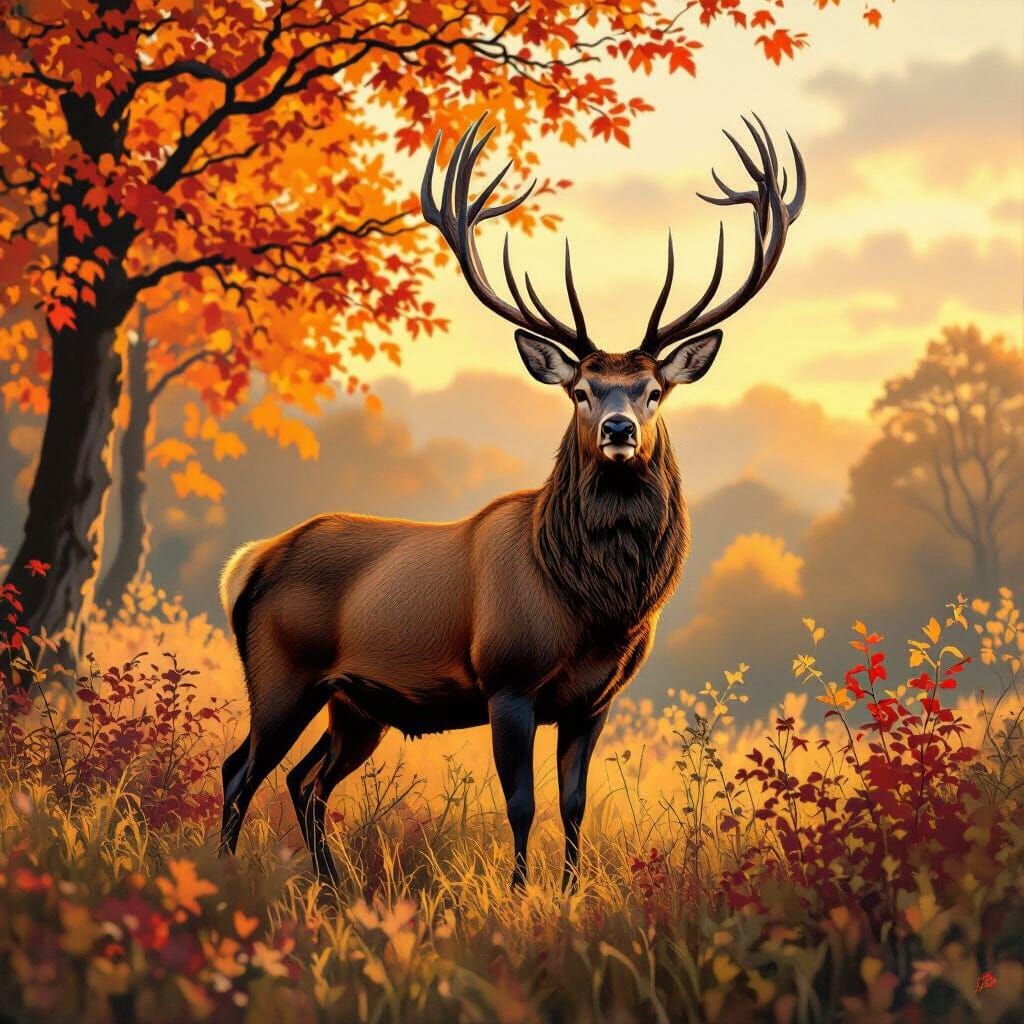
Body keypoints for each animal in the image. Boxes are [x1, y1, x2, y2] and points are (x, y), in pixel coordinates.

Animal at [218, 114, 805, 892]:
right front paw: (523, 893)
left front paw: (571, 891)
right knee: (241, 769)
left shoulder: (593, 700)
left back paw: (333, 887)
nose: (619, 430)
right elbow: (521, 804)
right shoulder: (508, 680)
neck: (595, 607)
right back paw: (220, 873)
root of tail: (248, 563)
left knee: (305, 781)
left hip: (356, 703)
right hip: (280, 673)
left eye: (654, 391)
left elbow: (575, 804)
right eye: (580, 390)